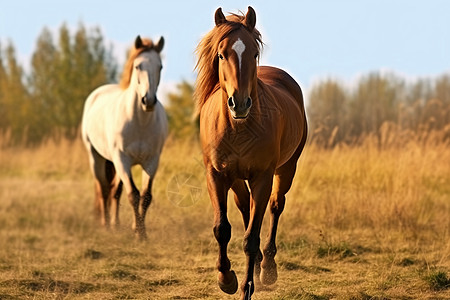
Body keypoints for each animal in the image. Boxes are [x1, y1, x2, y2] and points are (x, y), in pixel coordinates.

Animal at [81, 35, 168, 239]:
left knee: (115, 190)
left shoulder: (152, 162)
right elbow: (133, 195)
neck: (140, 122)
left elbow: (145, 196)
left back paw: (116, 224)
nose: (148, 101)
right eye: (137, 66)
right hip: (97, 158)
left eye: (160, 66)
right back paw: (105, 224)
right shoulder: (122, 159)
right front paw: (139, 234)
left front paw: (140, 232)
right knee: (104, 189)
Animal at [195, 5, 308, 298]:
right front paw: (226, 279)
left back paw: (267, 267)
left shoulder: (263, 177)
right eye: (221, 54)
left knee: (275, 207)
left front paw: (247, 286)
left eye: (254, 53)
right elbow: (222, 229)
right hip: (236, 179)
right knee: (246, 208)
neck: (238, 127)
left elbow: (252, 237)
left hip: (287, 169)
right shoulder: (217, 175)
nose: (240, 103)